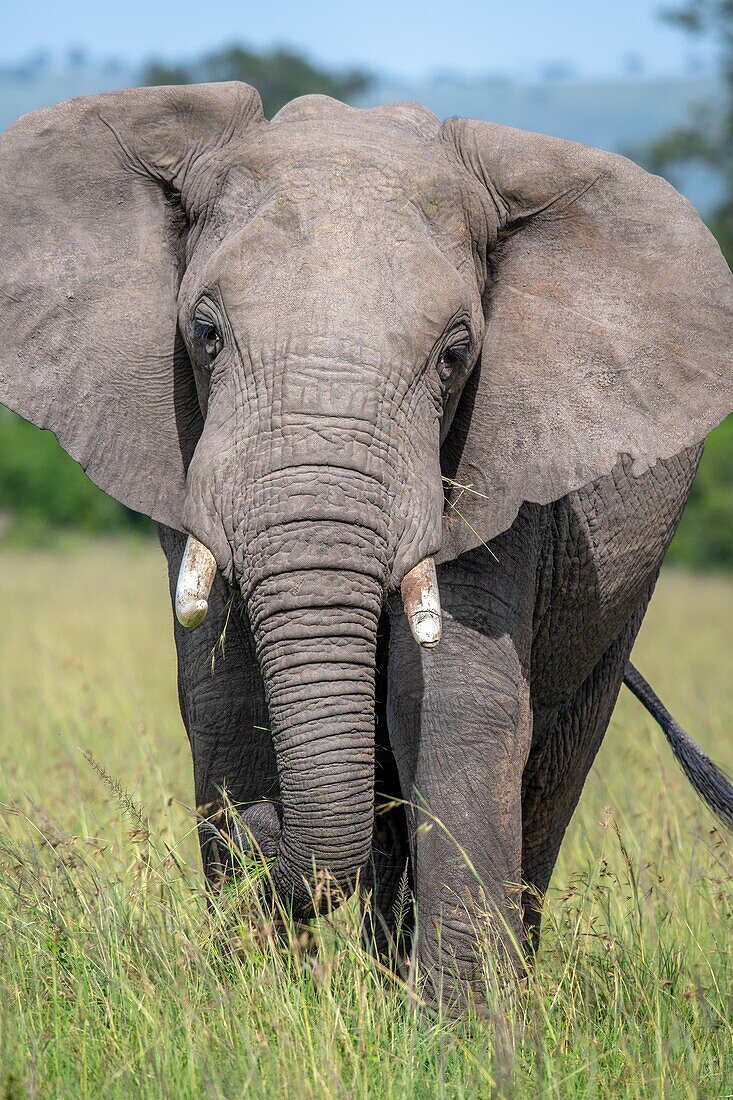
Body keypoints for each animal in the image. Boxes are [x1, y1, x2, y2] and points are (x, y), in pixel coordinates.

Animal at [1, 81, 730, 1003]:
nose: (260, 824)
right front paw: (261, 1003)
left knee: (552, 762)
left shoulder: (502, 450)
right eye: (204, 335)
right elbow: (223, 695)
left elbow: (453, 698)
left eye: (455, 355)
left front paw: (463, 1031)